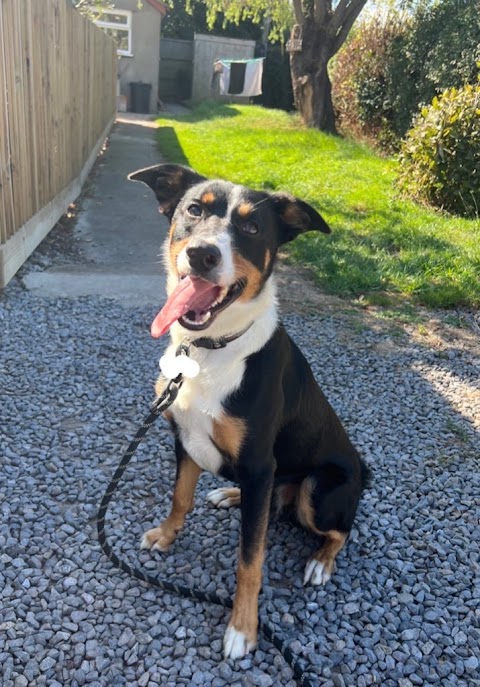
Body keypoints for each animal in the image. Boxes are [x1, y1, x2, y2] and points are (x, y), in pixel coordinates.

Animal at [128, 163, 372, 660]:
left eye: (253, 228)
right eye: (193, 210)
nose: (202, 255)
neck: (208, 351)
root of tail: (363, 471)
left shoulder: (259, 461)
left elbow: (250, 560)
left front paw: (242, 627)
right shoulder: (185, 439)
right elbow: (180, 497)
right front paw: (165, 535)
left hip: (319, 487)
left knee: (339, 529)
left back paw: (320, 562)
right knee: (269, 501)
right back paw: (230, 494)